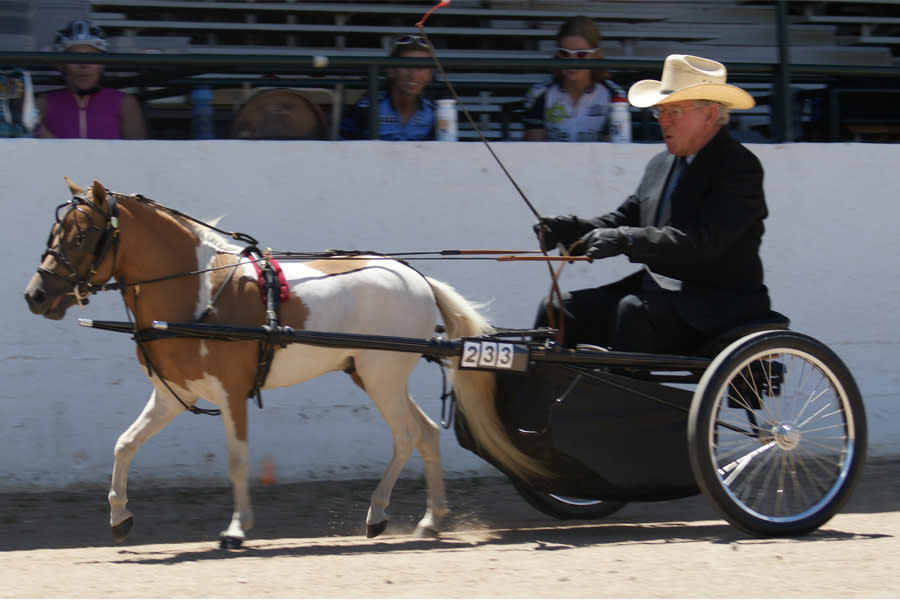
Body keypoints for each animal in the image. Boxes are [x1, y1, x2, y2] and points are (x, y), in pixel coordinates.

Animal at [24, 179, 546, 547]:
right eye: (55, 232)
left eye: (83, 235)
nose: (36, 295)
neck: (199, 292)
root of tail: (415, 277)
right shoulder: (176, 394)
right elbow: (125, 444)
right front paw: (119, 517)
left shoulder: (232, 393)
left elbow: (237, 460)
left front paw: (236, 529)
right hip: (372, 375)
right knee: (425, 433)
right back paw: (425, 521)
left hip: (382, 377)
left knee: (407, 435)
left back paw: (388, 514)